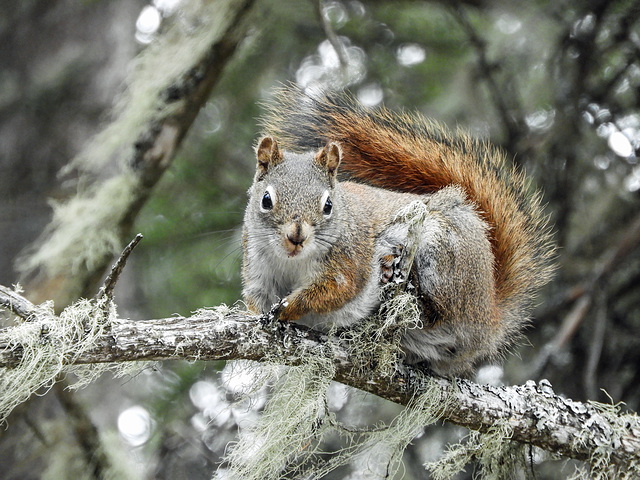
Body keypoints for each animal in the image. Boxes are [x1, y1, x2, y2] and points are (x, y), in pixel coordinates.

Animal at [242, 88, 552, 376]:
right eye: (266, 200)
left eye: (328, 205)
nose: (296, 237)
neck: (292, 261)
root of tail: (489, 315)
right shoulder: (257, 265)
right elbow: (255, 299)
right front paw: (259, 319)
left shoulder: (348, 262)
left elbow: (334, 291)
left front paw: (290, 306)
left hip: (444, 255)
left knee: (438, 312)